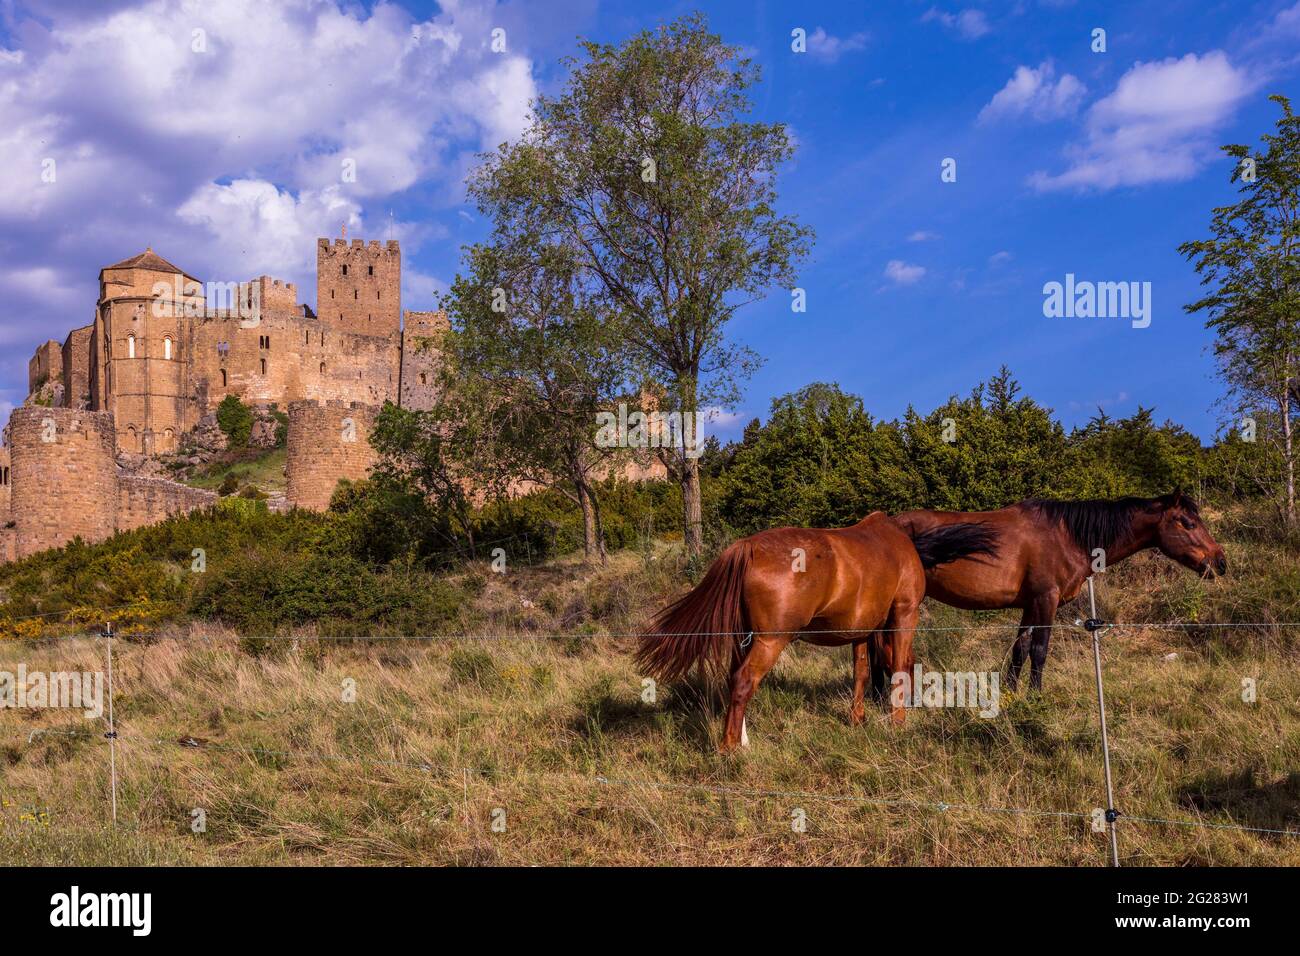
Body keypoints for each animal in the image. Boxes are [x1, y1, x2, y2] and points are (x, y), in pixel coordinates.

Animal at [634, 513, 998, 753]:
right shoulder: (904, 614)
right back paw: (729, 748)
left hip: (744, 639)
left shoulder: (860, 631)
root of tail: (747, 548)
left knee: (733, 679)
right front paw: (897, 723)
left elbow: (861, 673)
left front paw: (858, 718)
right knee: (743, 682)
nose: (915, 703)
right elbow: (896, 667)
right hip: (770, 642)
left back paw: (741, 739)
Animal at [891, 490, 1227, 692]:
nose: (1219, 561)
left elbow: (1021, 649)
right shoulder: (1046, 600)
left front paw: (1011, 694)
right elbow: (1039, 651)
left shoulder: (1030, 605)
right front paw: (1035, 697)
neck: (1067, 536)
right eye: (1187, 523)